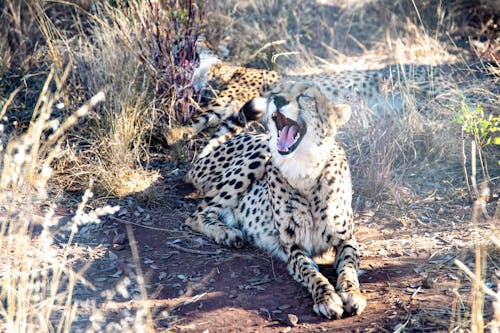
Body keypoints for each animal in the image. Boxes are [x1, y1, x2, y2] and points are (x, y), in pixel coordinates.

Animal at [186, 81, 366, 320]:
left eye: (306, 96)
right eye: (280, 90)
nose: (278, 99)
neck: (305, 170)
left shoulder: (347, 238)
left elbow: (349, 267)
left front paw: (351, 293)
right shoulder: (292, 244)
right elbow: (310, 272)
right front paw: (326, 298)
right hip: (260, 155)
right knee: (197, 214)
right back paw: (226, 232)